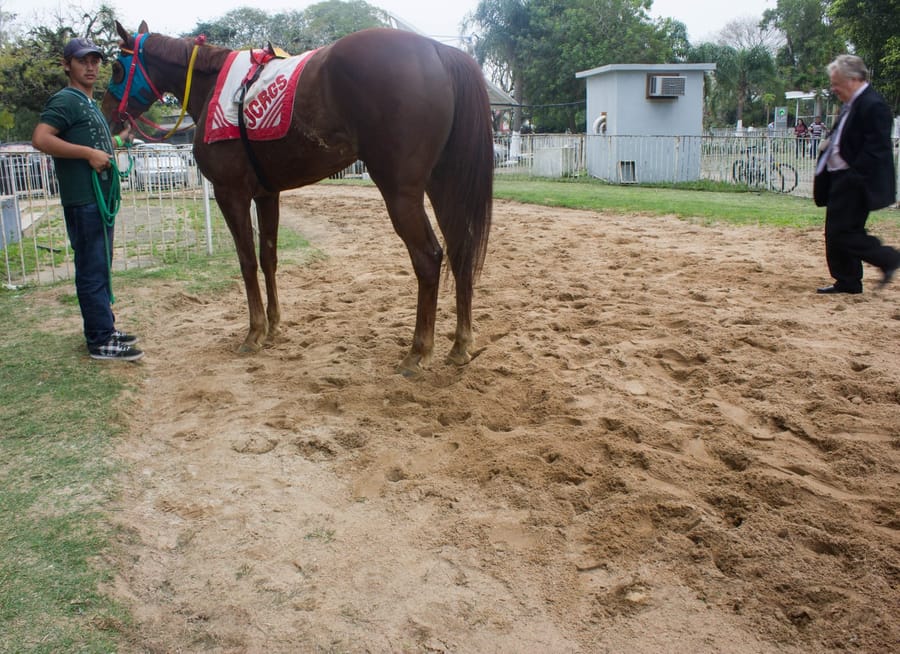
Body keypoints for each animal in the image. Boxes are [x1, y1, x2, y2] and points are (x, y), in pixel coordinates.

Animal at [102, 21, 493, 375]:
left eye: (118, 68)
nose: (107, 115)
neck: (214, 87)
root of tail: (438, 52)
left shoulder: (230, 194)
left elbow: (246, 261)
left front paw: (254, 333)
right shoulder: (266, 195)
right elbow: (268, 257)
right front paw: (274, 326)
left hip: (401, 193)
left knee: (428, 258)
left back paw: (418, 352)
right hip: (442, 184)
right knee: (460, 250)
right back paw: (460, 346)